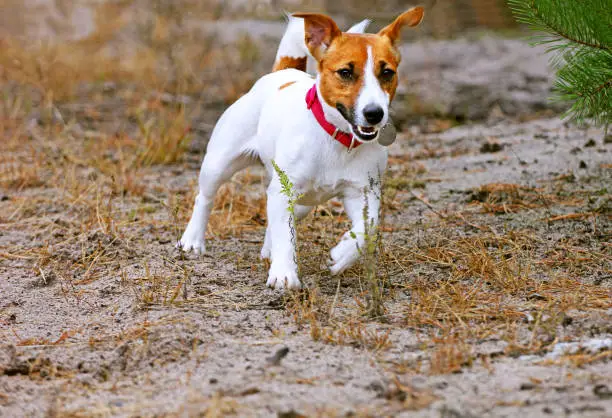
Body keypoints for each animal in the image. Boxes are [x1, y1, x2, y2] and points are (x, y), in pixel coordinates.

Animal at [177, 7, 426, 290]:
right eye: (345, 72)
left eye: (387, 73)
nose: (375, 113)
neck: (336, 139)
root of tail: (283, 72)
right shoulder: (284, 189)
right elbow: (286, 237)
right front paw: (285, 273)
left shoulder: (363, 192)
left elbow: (368, 227)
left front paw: (342, 255)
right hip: (220, 164)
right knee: (205, 198)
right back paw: (193, 240)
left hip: (301, 202)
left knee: (279, 220)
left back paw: (269, 249)